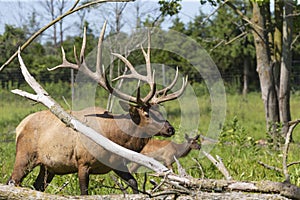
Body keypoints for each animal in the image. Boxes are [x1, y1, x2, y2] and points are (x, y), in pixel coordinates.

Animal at [6, 22, 188, 195]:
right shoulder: (83, 163)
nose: (170, 129)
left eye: (160, 111)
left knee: (37, 186)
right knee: (13, 181)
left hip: (48, 166)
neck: (115, 138)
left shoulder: (117, 164)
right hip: (24, 155)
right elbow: (84, 193)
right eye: (146, 114)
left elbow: (134, 183)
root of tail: (20, 125)